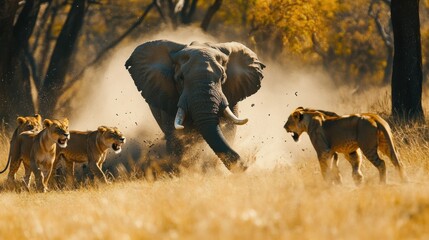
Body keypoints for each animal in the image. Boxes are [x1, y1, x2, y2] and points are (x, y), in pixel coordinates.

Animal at [124, 40, 264, 172]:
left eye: (223, 78)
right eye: (180, 78)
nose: (246, 166)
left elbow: (229, 130)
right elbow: (176, 135)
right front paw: (182, 172)